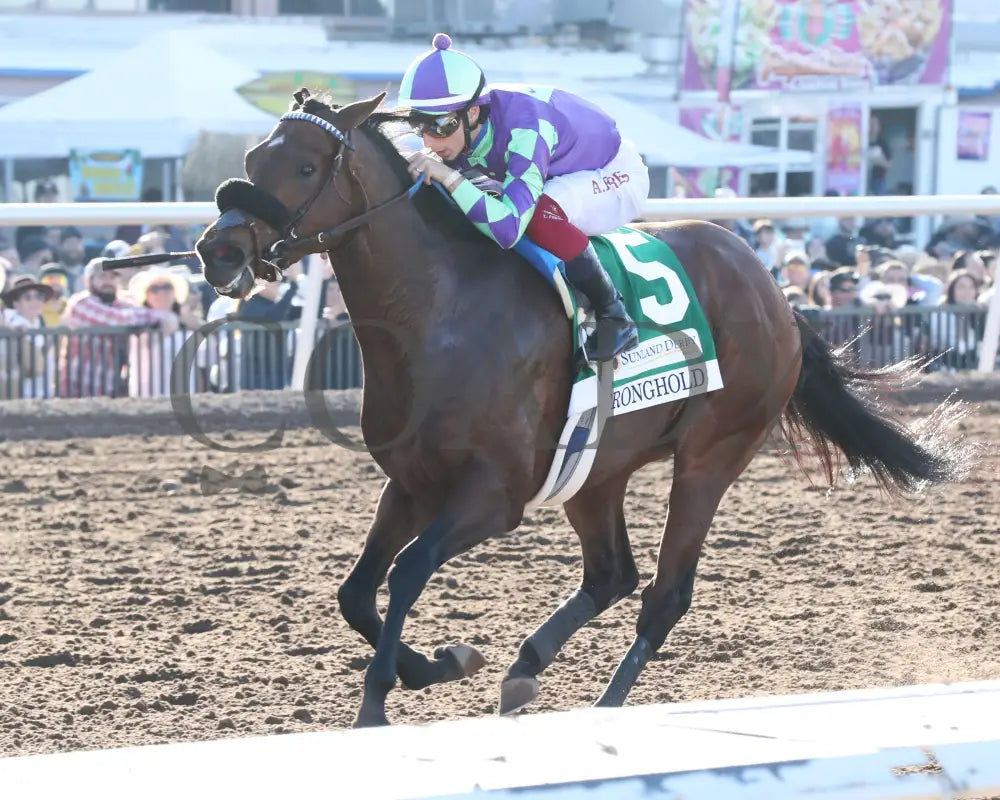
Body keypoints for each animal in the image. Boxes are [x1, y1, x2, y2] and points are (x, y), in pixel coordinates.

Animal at [193, 90, 960, 728]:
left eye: (305, 166)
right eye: (253, 159)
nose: (217, 250)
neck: (438, 314)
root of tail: (777, 295)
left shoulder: (492, 496)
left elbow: (407, 572)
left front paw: (380, 702)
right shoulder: (411, 483)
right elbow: (355, 592)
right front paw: (437, 666)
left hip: (711, 456)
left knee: (666, 592)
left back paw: (605, 703)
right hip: (596, 467)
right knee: (613, 573)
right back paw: (525, 669)